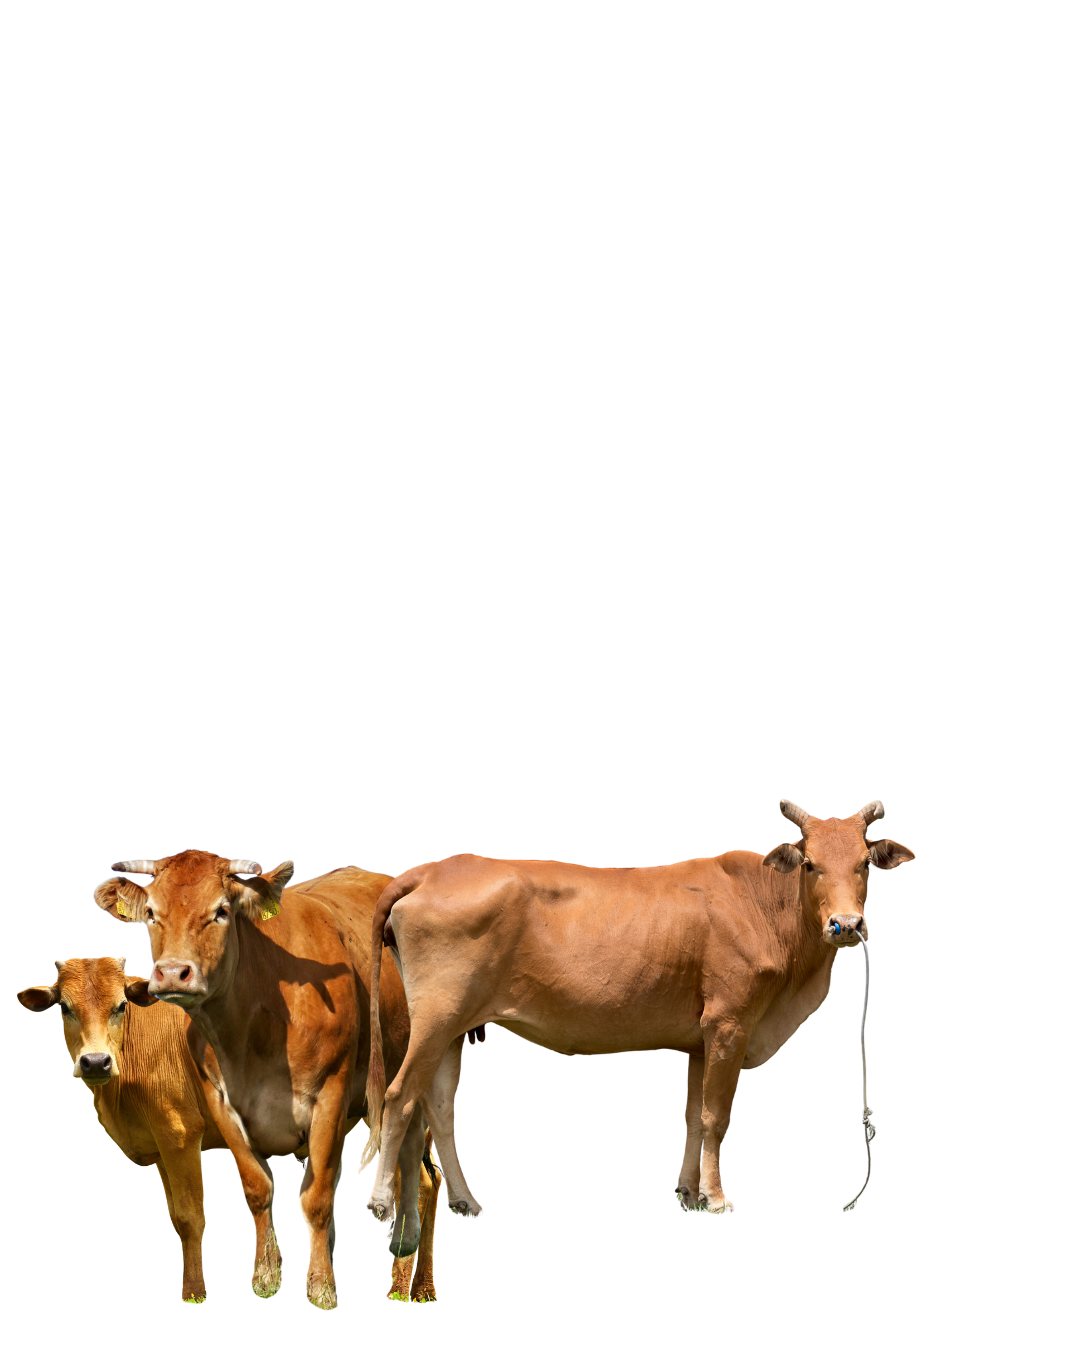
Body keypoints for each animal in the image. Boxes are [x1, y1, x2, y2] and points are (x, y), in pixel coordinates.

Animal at [17, 952, 444, 1306]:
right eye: (65, 1008)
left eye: (120, 1005)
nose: (95, 1062)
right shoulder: (161, 1148)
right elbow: (176, 1217)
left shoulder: (180, 1136)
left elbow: (190, 1216)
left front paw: (193, 1292)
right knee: (430, 1180)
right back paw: (420, 1286)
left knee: (416, 1184)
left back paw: (403, 1284)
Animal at [91, 857, 447, 1310]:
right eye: (152, 913)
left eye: (221, 911)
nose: (172, 973)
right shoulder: (220, 1101)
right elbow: (259, 1189)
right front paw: (266, 1277)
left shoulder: (329, 1096)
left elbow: (316, 1199)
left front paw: (323, 1288)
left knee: (423, 1182)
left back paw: (413, 1286)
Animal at [361, 797, 915, 1232]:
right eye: (810, 864)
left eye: (864, 864)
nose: (846, 924)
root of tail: (432, 868)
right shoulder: (730, 1023)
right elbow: (716, 1116)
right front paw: (716, 1198)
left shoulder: (701, 1038)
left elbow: (694, 1114)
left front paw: (689, 1194)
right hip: (437, 1017)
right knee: (398, 1096)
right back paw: (383, 1202)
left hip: (456, 1027)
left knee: (439, 1106)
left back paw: (465, 1201)